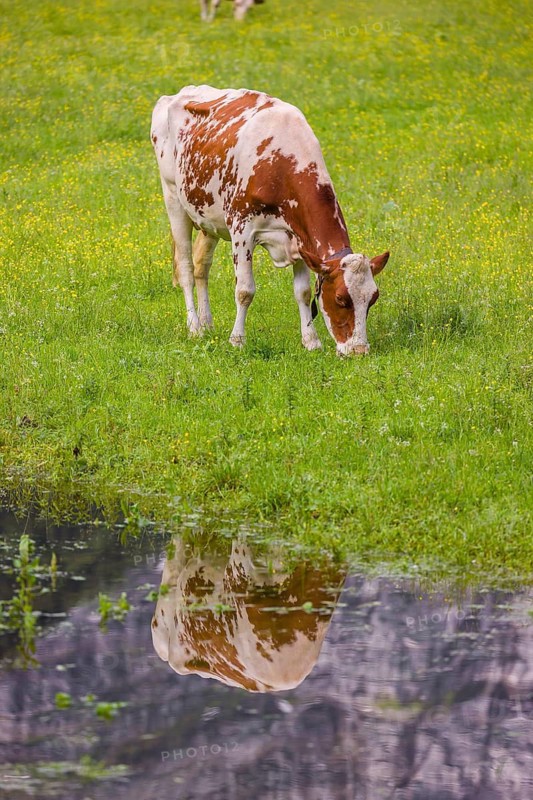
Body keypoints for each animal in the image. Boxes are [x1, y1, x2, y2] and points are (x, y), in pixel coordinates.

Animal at [151, 85, 389, 356]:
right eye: (341, 298)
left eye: (372, 299)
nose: (359, 350)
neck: (281, 162)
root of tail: (178, 93)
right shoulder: (242, 229)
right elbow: (244, 290)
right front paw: (237, 340)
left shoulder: (299, 238)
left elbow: (303, 292)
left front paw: (311, 341)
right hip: (173, 198)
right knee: (186, 268)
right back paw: (194, 327)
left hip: (207, 216)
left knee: (202, 265)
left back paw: (207, 324)